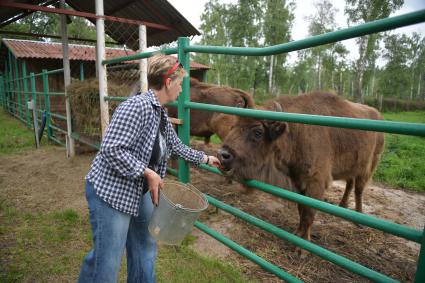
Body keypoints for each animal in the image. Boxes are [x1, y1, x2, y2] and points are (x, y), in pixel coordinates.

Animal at [219, 92, 384, 250]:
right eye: (233, 127)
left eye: (258, 132)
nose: (223, 155)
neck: (295, 134)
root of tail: (378, 114)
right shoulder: (298, 183)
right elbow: (301, 209)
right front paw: (297, 233)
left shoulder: (315, 184)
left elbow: (308, 214)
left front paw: (302, 248)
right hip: (352, 168)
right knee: (350, 184)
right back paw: (343, 206)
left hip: (370, 166)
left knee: (359, 189)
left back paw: (359, 219)